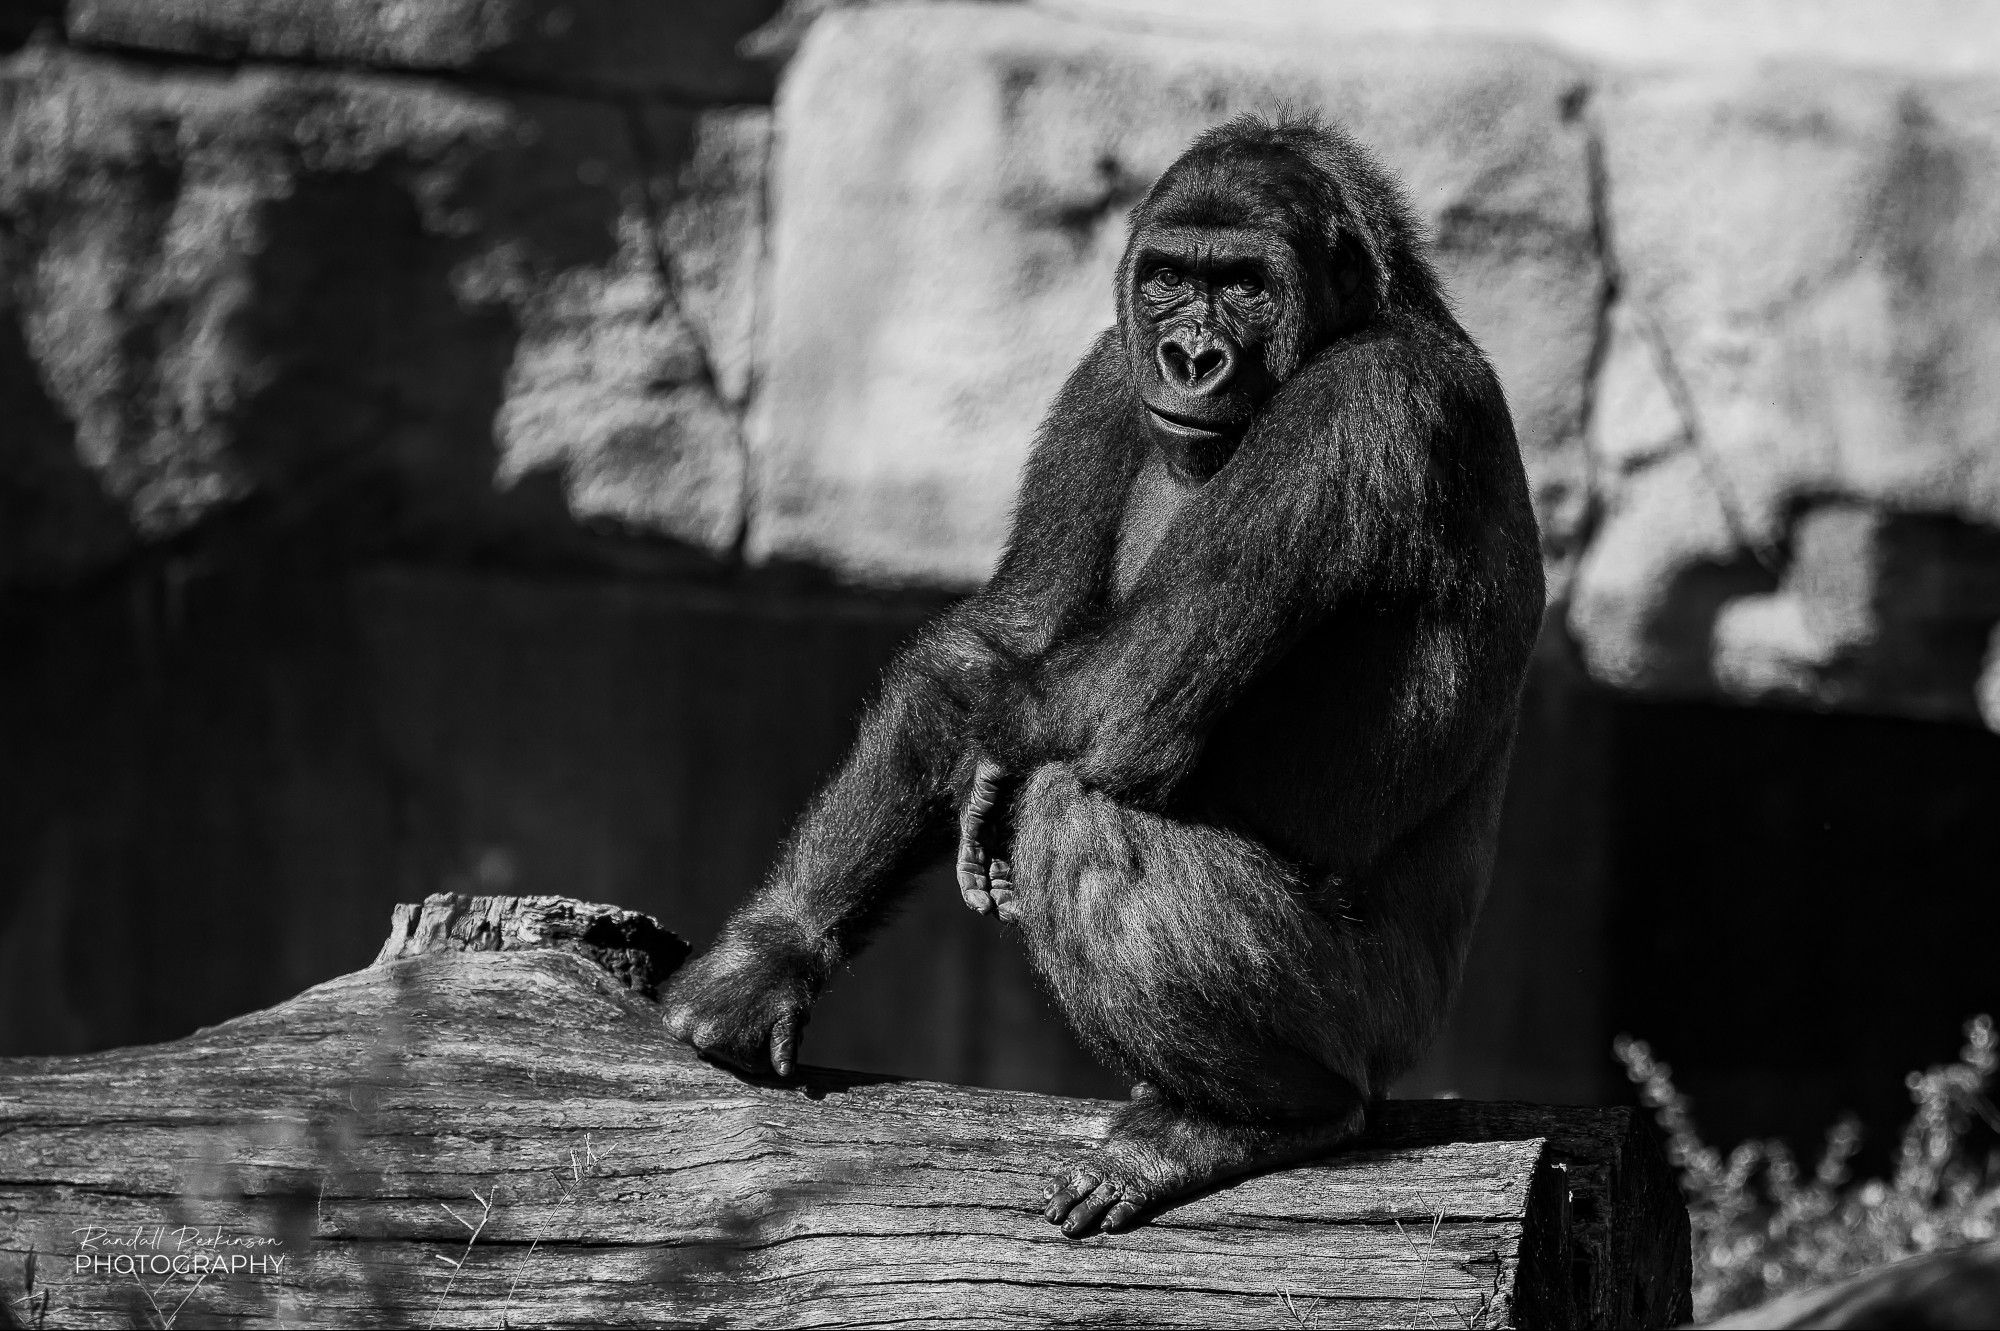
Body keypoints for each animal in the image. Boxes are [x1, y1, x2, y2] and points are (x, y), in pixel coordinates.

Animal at [664, 111, 1536, 1231]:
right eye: (1166, 277)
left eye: (1246, 284)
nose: (1190, 356)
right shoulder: (1107, 374)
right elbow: (999, 641)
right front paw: (771, 951)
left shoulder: (1369, 399)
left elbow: (1123, 702)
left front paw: (995, 784)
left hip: (1381, 1025)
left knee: (1080, 810)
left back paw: (1251, 1114)